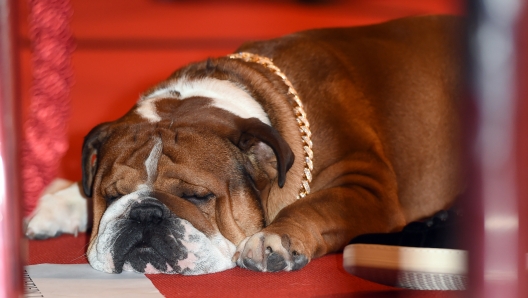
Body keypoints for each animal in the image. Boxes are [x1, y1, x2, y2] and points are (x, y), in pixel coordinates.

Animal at [25, 15, 462, 274]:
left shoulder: (366, 186)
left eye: (198, 196)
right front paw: (58, 205)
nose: (144, 214)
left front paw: (276, 237)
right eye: (112, 194)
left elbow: (314, 205)